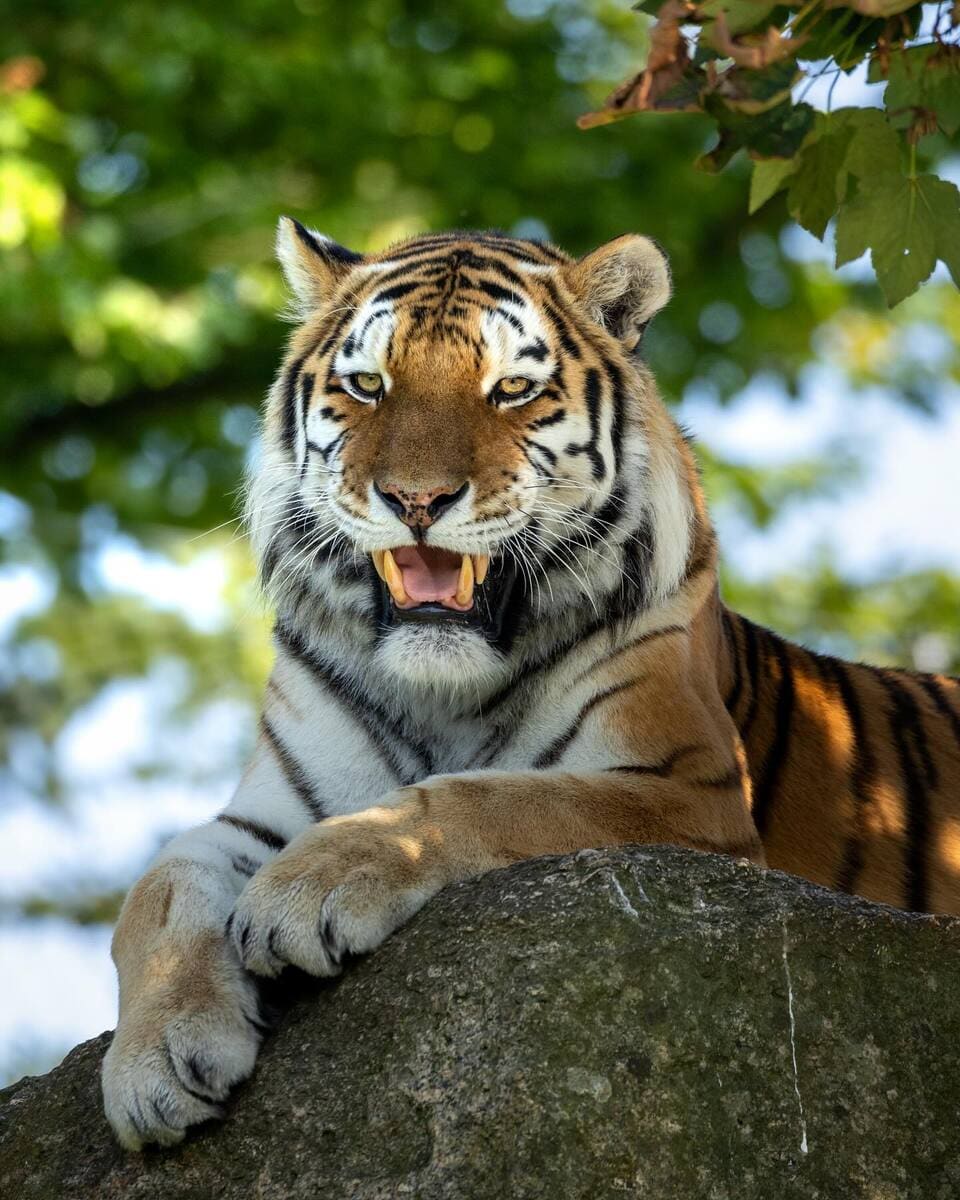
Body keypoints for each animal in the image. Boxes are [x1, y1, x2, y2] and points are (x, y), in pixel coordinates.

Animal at [101, 220, 960, 1150]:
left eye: (511, 389)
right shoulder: (267, 809)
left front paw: (310, 888)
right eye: (368, 385)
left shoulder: (687, 795)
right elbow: (160, 885)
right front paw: (154, 1065)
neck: (443, 688)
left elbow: (489, 796)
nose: (416, 499)